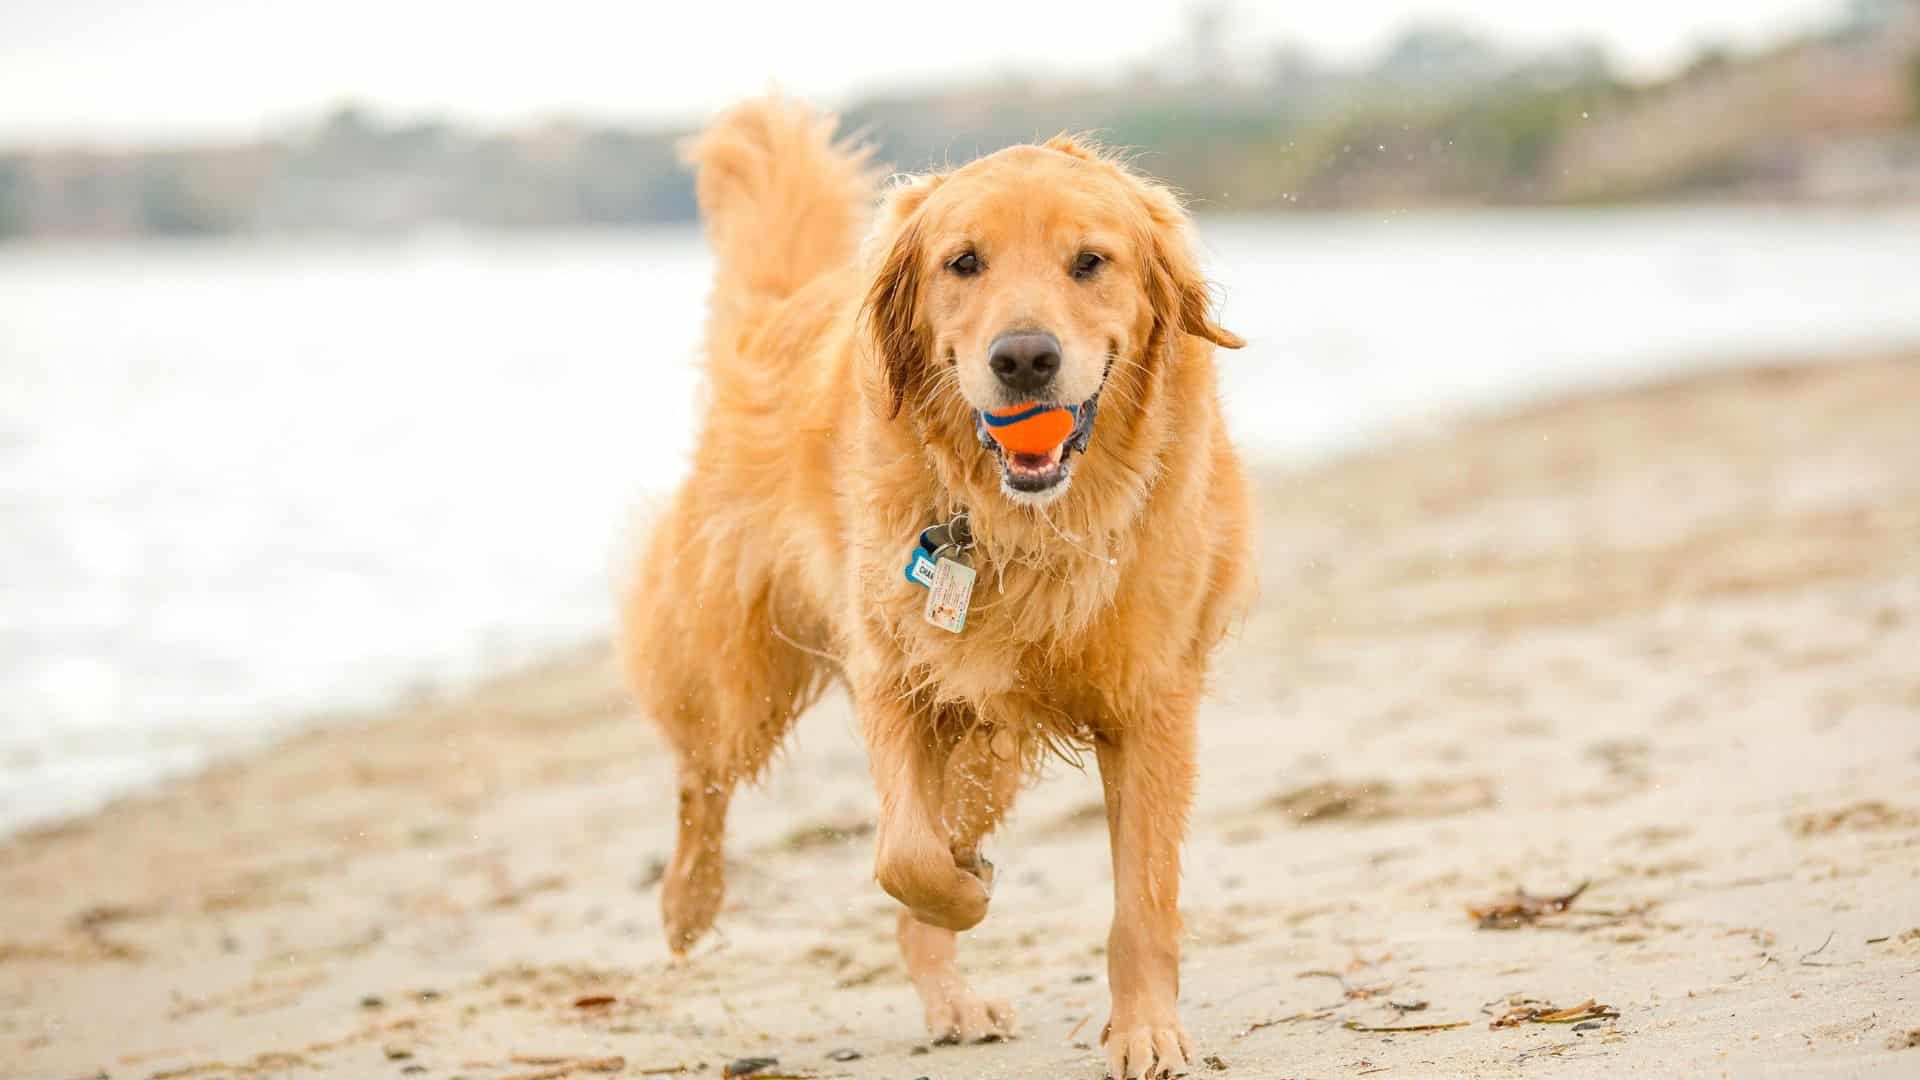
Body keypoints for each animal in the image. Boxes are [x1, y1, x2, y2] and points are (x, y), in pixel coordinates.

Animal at [610, 96, 1244, 1068]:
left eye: (1089, 262)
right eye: (964, 262)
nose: (1025, 358)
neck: (1022, 524)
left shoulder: (1149, 700)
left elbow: (1141, 897)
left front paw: (1147, 1033)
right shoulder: (898, 674)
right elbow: (903, 855)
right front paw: (966, 888)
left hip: (987, 746)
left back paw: (954, 997)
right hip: (735, 667)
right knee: (700, 778)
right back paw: (689, 903)